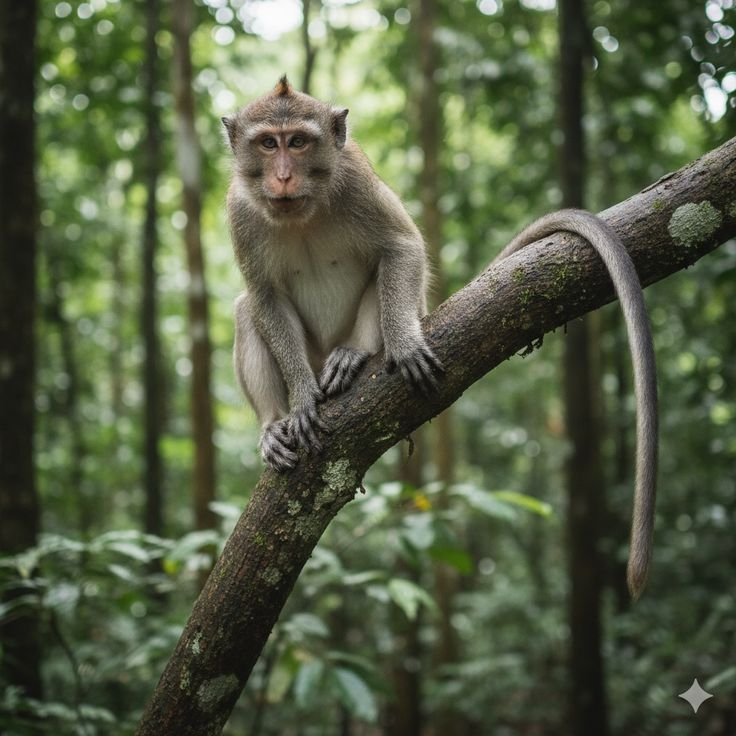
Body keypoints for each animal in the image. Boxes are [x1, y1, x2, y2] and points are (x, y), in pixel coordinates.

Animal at [223, 78, 656, 598]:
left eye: (299, 142)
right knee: (246, 309)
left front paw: (404, 347)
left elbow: (401, 248)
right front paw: (303, 398)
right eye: (268, 144)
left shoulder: (357, 183)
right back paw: (274, 424)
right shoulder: (239, 213)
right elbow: (263, 295)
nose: (284, 176)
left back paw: (355, 355)